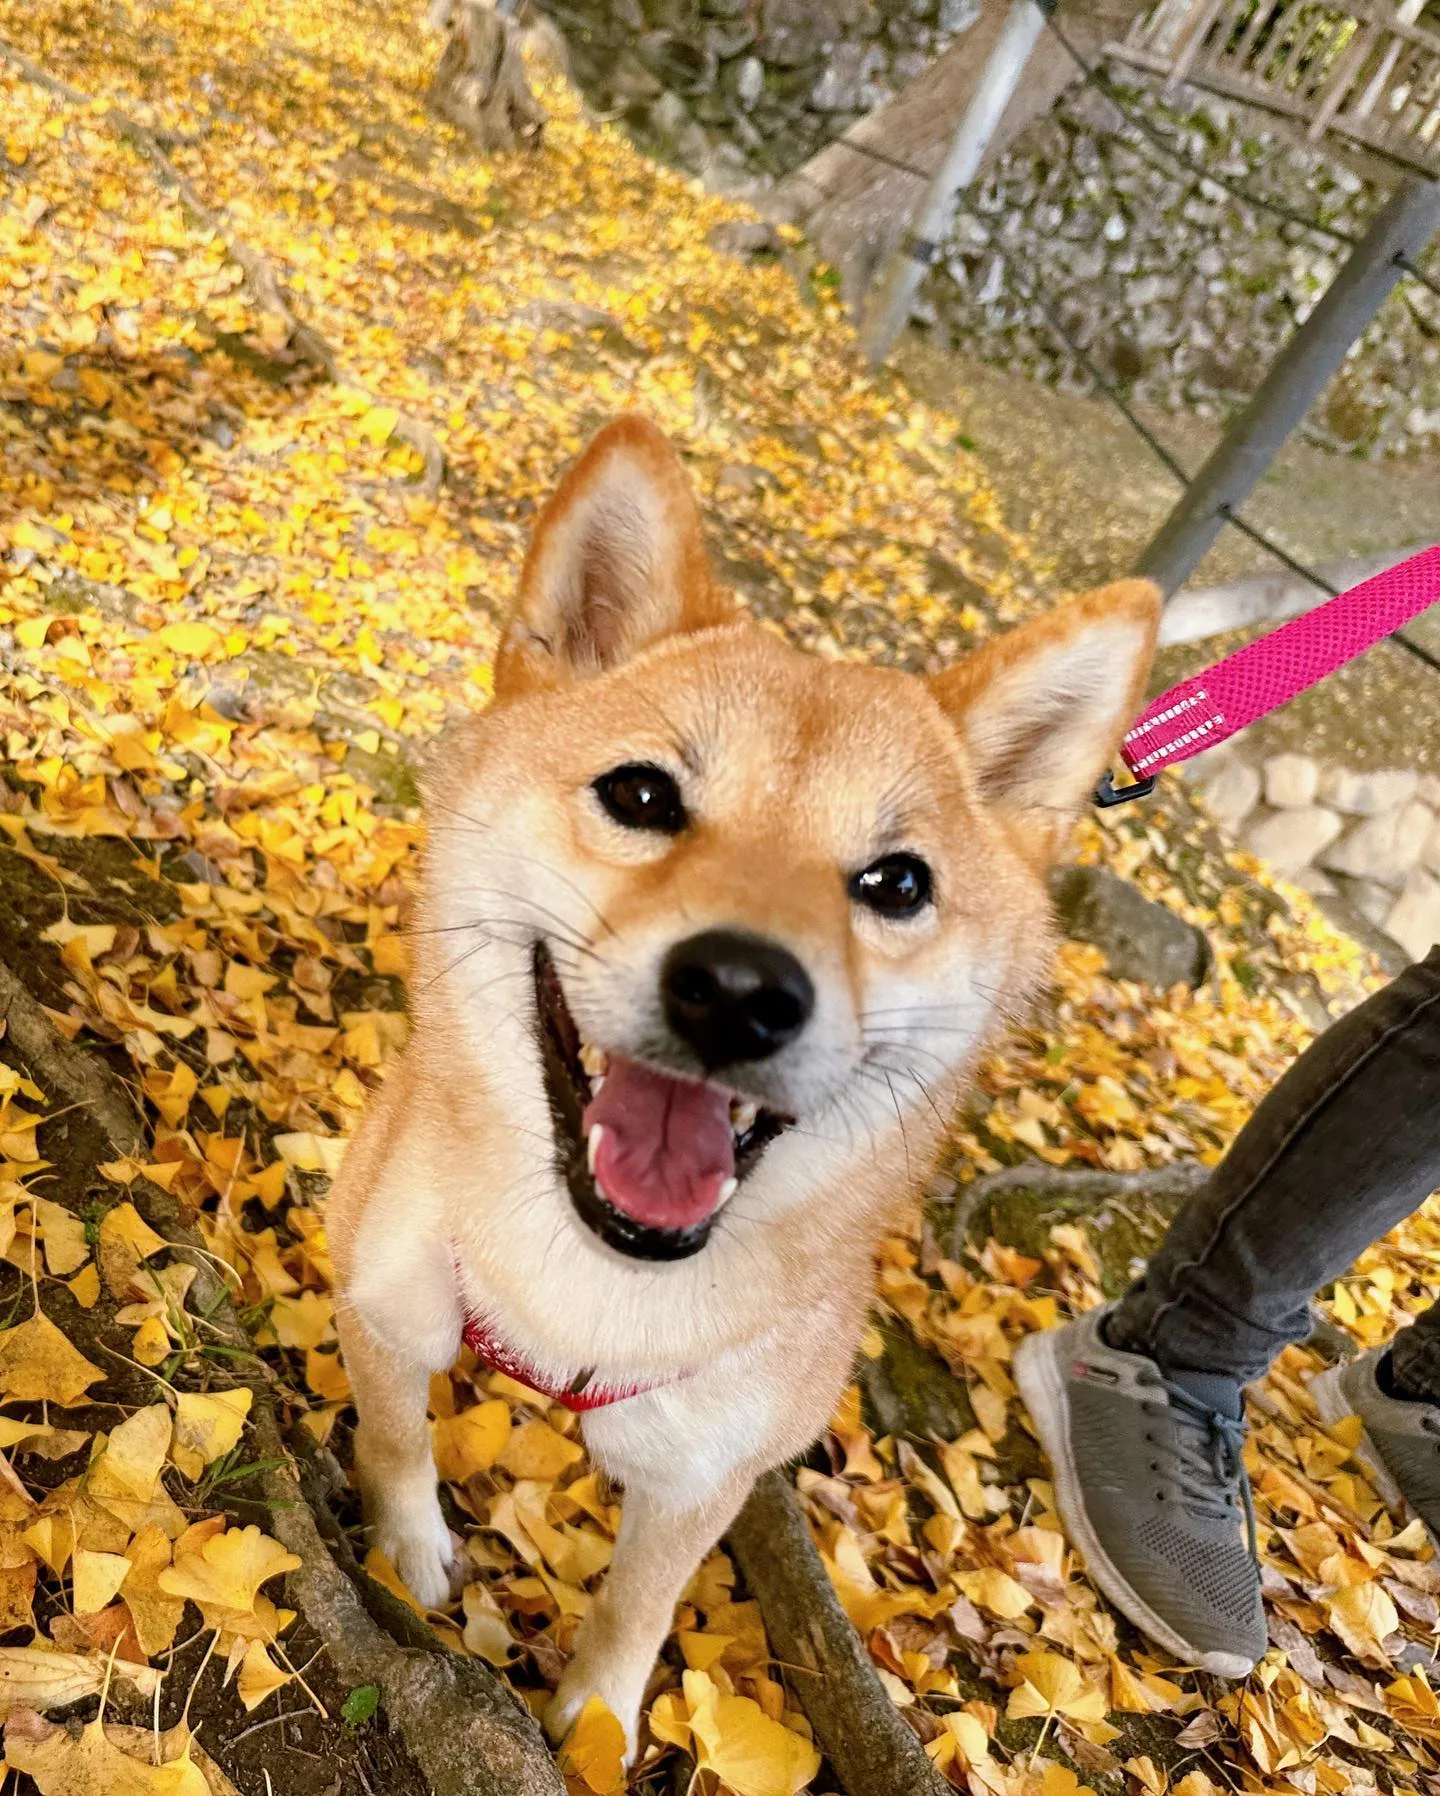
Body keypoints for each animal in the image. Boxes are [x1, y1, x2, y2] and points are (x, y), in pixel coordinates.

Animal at [324, 416, 1156, 1752]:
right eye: (642, 794)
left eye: (897, 882)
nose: (740, 988)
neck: (589, 1291)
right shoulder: (383, 1301)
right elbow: (399, 1438)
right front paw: (407, 1554)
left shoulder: (705, 1466)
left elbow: (639, 1601)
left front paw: (596, 1726)